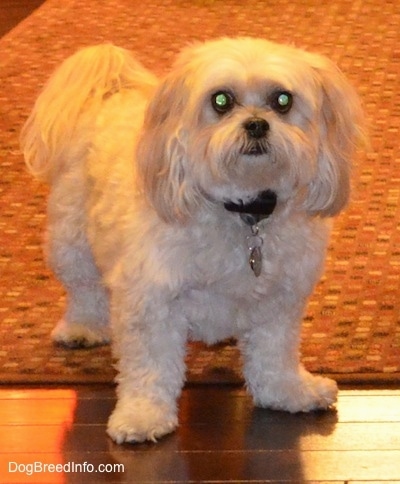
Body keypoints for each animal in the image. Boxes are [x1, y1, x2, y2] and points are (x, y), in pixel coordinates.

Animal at [22, 37, 366, 444]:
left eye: (283, 100)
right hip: (71, 238)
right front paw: (143, 416)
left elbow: (275, 355)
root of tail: (113, 90)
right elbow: (151, 368)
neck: (243, 212)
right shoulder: (152, 301)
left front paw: (289, 392)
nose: (257, 125)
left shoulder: (279, 300)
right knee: (84, 289)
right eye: (221, 101)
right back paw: (82, 328)